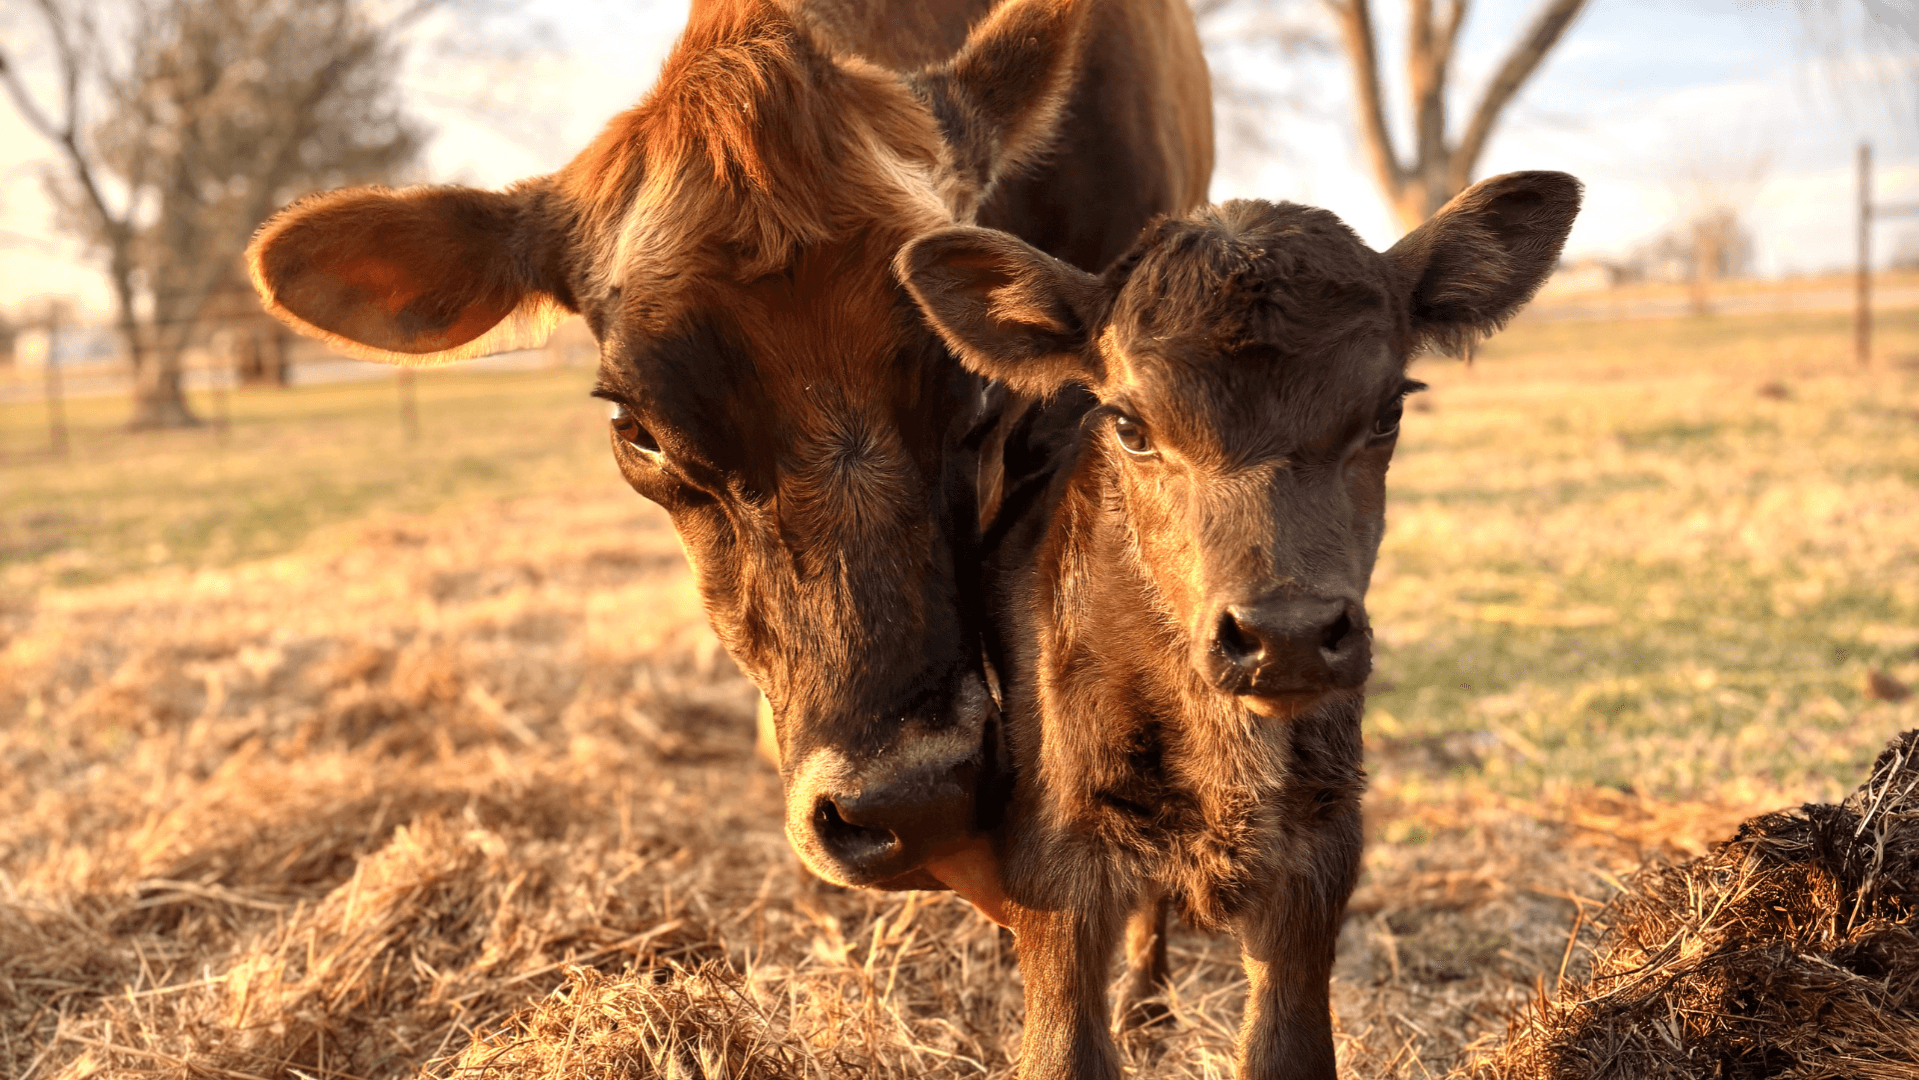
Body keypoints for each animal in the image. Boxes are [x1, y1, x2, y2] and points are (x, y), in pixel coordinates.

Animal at [898, 171, 1582, 1080]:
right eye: (1129, 427)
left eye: (1386, 413)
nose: (1283, 634)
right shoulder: (1053, 849)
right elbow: (1064, 1049)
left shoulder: (1320, 846)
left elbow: (1285, 1048)